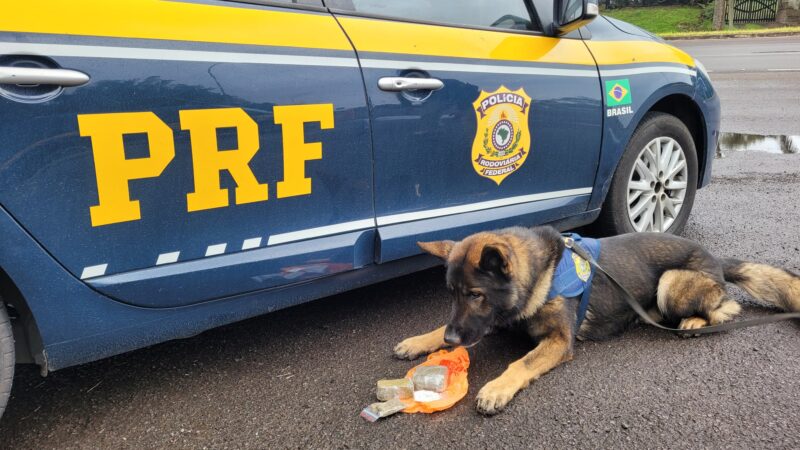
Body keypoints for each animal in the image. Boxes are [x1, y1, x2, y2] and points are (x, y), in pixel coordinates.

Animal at [394, 225, 800, 414]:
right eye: (451, 294)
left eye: (476, 295)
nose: (452, 340)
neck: (542, 273)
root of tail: (715, 257)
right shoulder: (494, 321)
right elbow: (443, 327)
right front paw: (420, 340)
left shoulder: (559, 341)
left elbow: (520, 362)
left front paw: (496, 387)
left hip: (671, 283)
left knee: (726, 306)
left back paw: (695, 323)